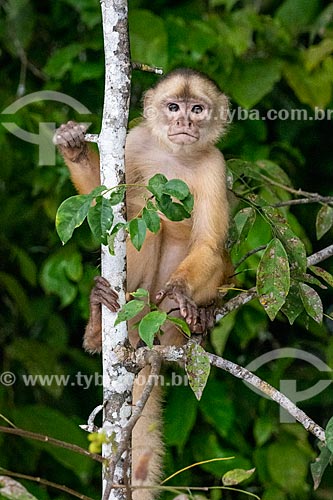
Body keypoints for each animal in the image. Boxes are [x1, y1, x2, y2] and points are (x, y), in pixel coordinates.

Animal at [53, 67, 232, 500]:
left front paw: (183, 294)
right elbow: (105, 202)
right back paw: (97, 325)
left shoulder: (217, 166)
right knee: (142, 221)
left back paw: (197, 320)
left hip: (163, 316)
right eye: (173, 107)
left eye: (197, 109)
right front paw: (75, 150)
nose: (185, 123)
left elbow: (209, 244)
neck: (176, 156)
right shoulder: (135, 140)